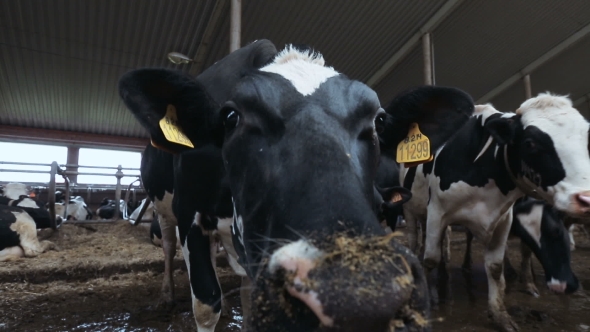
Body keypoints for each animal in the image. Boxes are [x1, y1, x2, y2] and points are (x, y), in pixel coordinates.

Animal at [390, 89, 590, 332]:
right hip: (409, 210)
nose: (585, 197)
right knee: (413, 240)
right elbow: (430, 260)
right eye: (530, 143)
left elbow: (495, 267)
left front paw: (499, 315)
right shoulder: (437, 211)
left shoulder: (503, 219)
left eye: (586, 138)